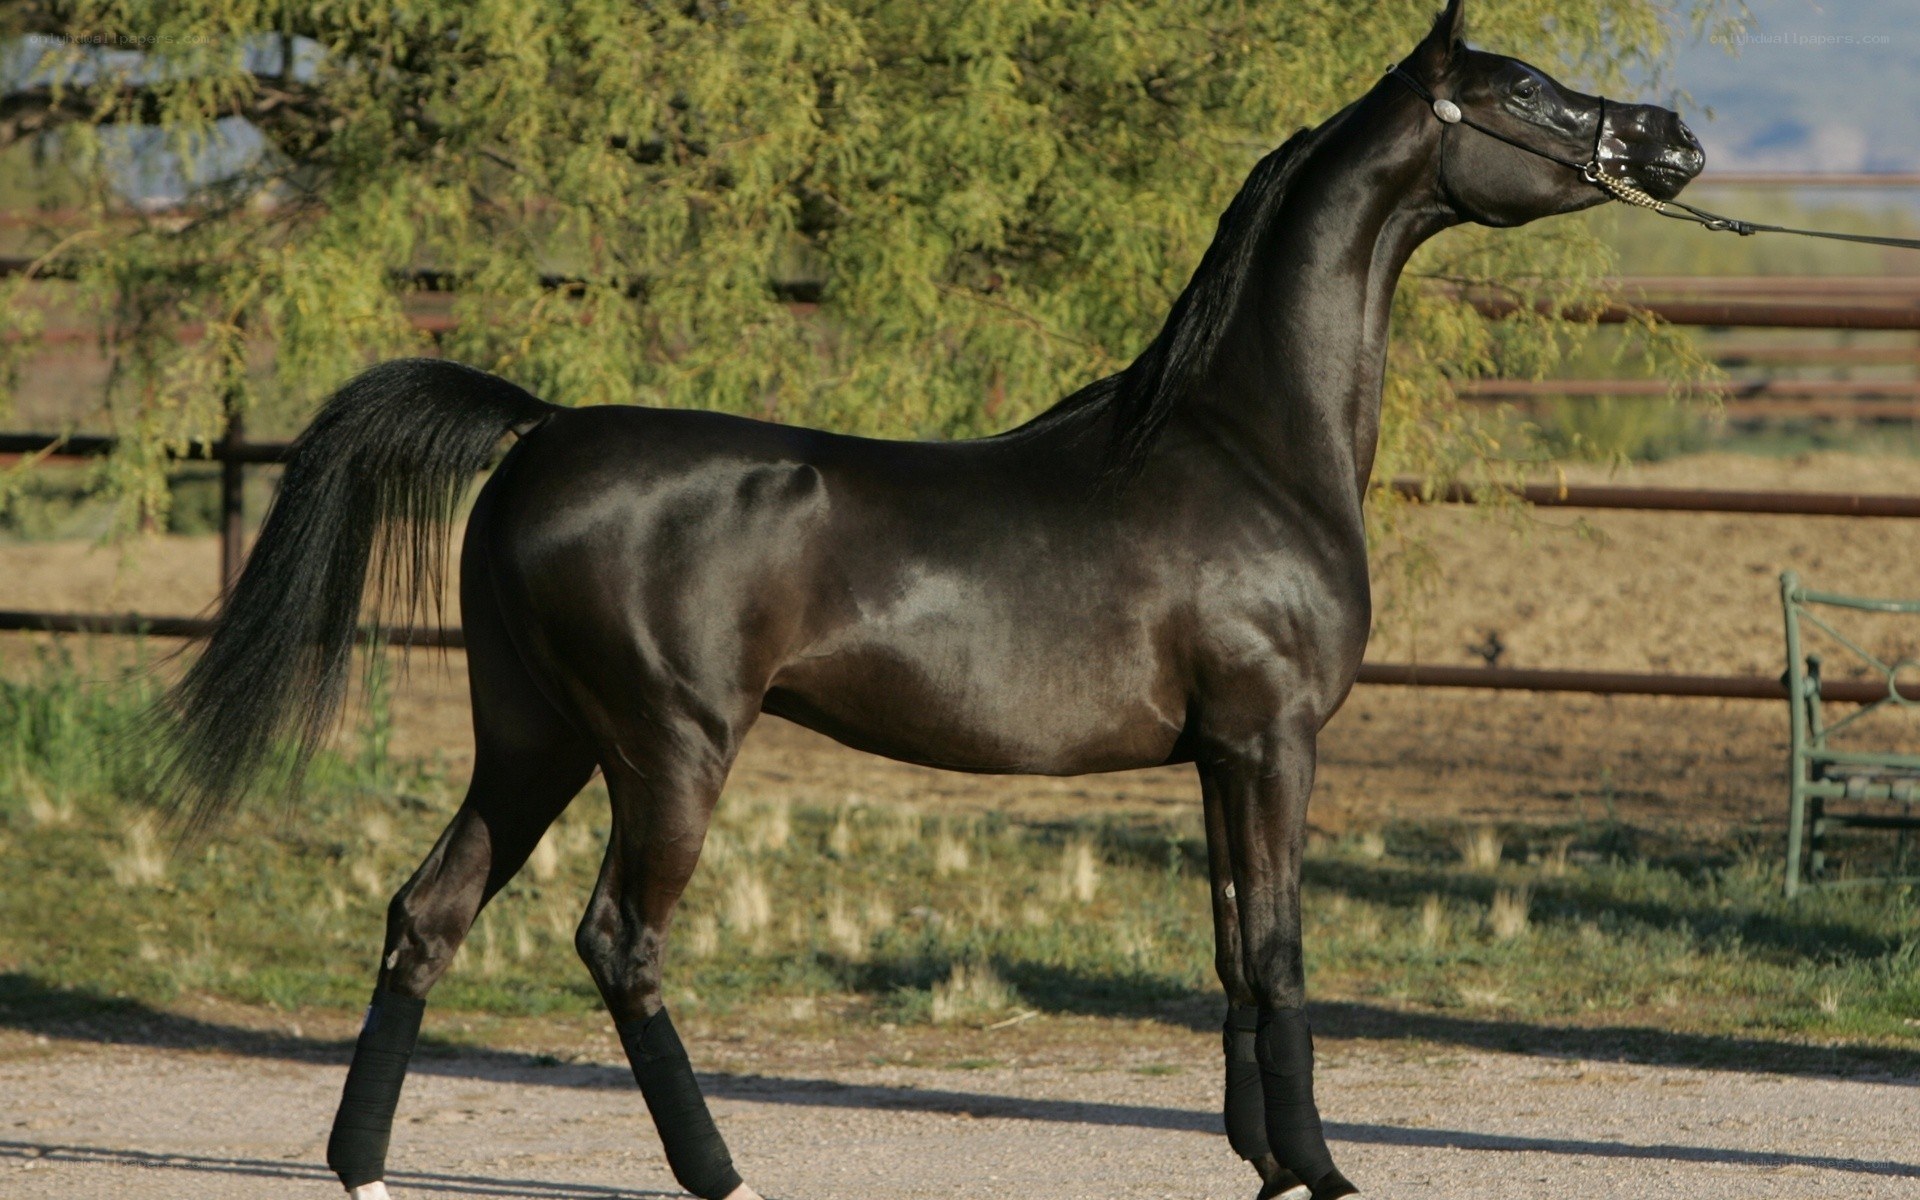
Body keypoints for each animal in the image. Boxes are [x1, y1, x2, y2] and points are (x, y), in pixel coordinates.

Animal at [149, 2, 1704, 1197]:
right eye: (1525, 92)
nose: (1673, 140)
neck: (1244, 443)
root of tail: (542, 431)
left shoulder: (1217, 756)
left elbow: (1229, 953)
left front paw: (1266, 1166)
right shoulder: (1273, 742)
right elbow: (1278, 952)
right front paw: (1319, 1172)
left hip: (533, 738)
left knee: (428, 915)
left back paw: (364, 1167)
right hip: (665, 749)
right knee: (618, 943)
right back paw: (722, 1174)